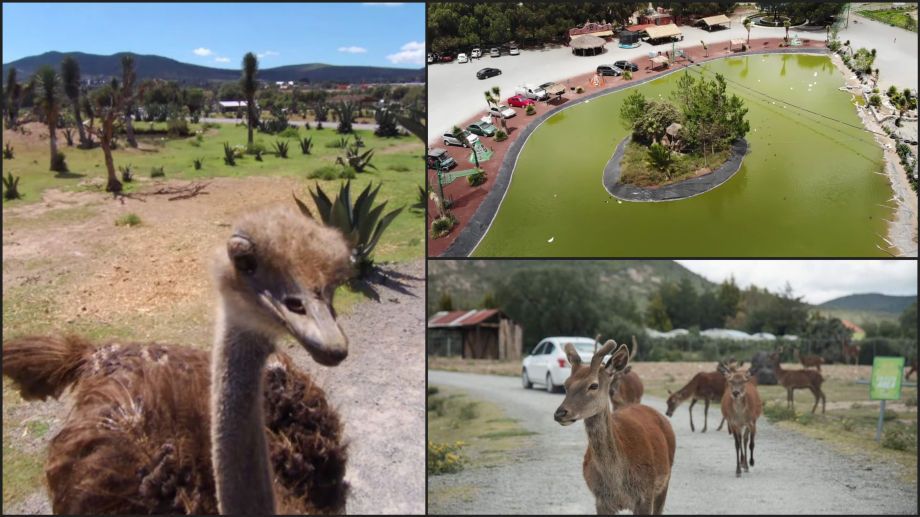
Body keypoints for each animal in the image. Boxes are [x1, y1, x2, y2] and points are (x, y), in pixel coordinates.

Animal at [552, 340, 676, 512]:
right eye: (566, 385)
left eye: (594, 385)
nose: (560, 413)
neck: (617, 483)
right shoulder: (600, 499)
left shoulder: (646, 494)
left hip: (666, 480)